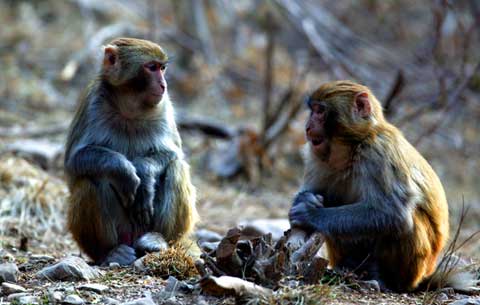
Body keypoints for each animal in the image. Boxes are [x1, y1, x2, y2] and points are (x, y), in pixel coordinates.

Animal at [64, 37, 199, 264]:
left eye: (162, 68)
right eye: (151, 67)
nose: (164, 85)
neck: (129, 108)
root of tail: (132, 236)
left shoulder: (164, 106)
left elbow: (174, 153)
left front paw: (144, 173)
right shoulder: (93, 103)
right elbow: (75, 160)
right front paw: (124, 171)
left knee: (177, 168)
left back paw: (157, 239)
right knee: (87, 181)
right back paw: (110, 251)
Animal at [288, 80, 450, 290]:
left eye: (320, 111)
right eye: (313, 110)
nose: (308, 126)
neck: (353, 146)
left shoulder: (379, 152)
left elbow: (393, 214)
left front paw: (308, 213)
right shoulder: (316, 156)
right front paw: (304, 200)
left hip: (414, 268)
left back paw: (383, 279)